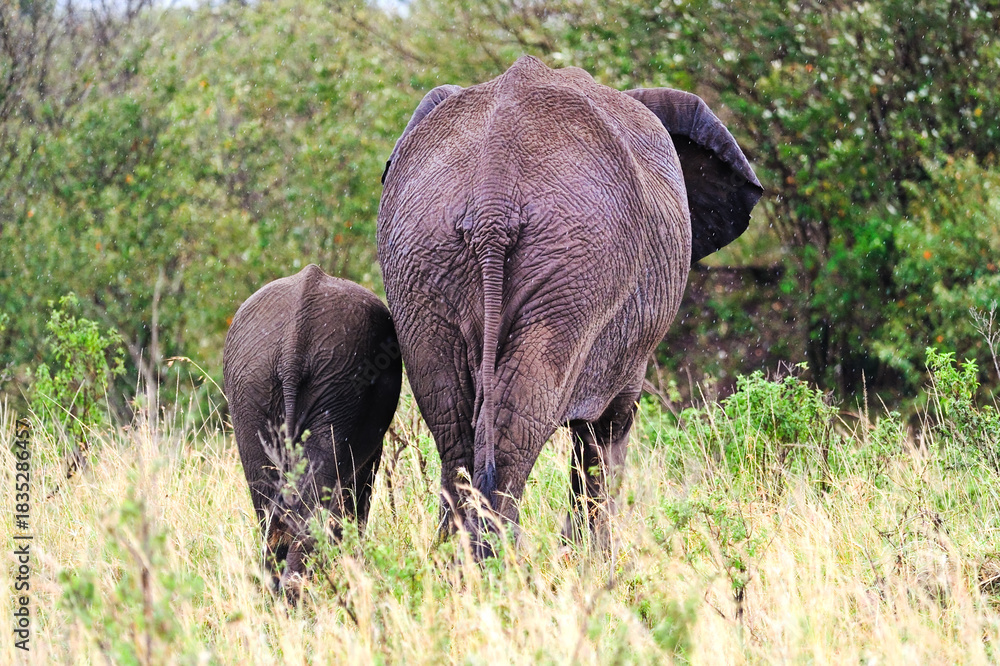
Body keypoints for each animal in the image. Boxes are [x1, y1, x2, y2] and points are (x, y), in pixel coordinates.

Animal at [377, 56, 762, 555]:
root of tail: (494, 193)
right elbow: (608, 429)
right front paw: (593, 560)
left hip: (422, 258)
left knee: (453, 422)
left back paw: (454, 561)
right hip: (576, 265)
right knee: (520, 422)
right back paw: (500, 561)